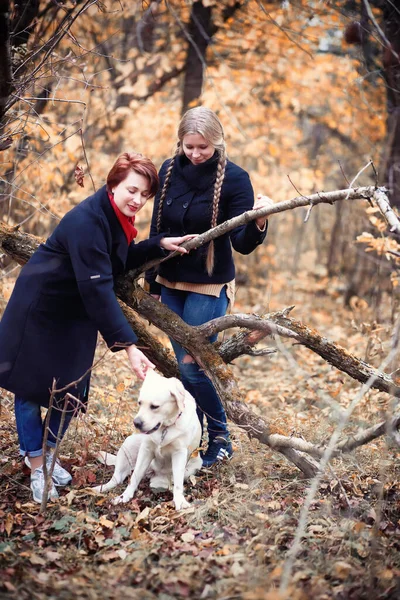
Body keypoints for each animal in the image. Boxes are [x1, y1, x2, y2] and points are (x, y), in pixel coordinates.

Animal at [94, 370, 203, 510]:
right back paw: (100, 490)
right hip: (129, 444)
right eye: (139, 403)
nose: (136, 423)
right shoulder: (146, 449)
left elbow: (178, 483)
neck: (164, 428)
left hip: (193, 466)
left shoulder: (179, 453)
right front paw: (125, 496)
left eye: (154, 406)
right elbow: (134, 477)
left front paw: (180, 501)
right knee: (118, 478)